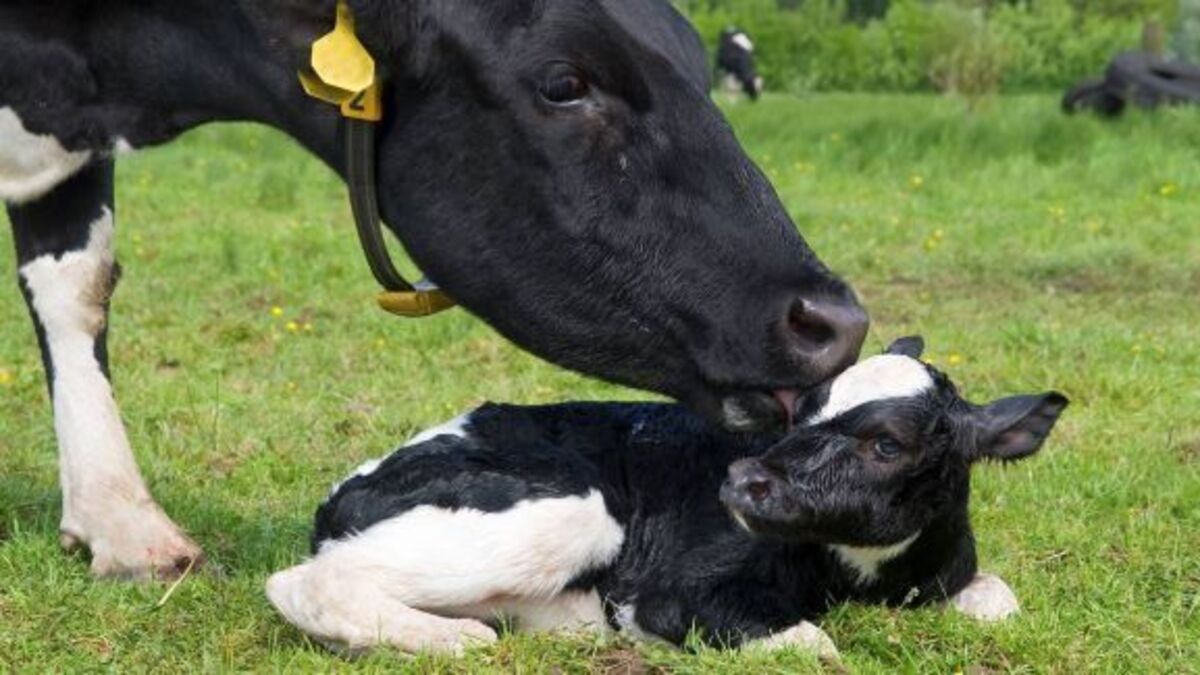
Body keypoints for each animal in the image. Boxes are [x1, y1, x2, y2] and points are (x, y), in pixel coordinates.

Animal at [266, 337, 1069, 656]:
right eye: (804, 408)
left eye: (887, 445)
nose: (743, 480)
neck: (859, 576)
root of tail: (347, 489)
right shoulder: (672, 592)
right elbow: (812, 642)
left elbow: (999, 599)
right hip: (574, 511)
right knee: (301, 581)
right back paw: (453, 639)